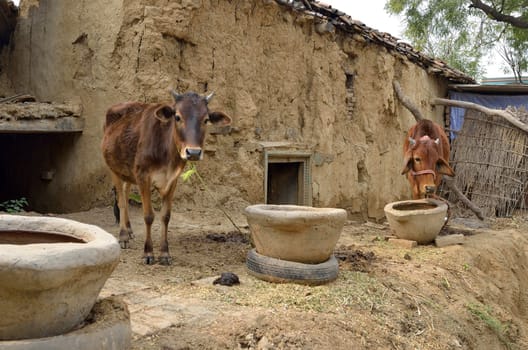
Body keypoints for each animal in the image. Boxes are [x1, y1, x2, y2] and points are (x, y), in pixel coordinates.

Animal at [101, 91, 231, 266]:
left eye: (206, 119)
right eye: (177, 117)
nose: (193, 152)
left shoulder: (172, 180)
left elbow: (165, 216)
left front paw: (164, 253)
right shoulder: (143, 176)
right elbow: (148, 216)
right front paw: (148, 253)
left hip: (128, 172)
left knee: (126, 194)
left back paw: (129, 229)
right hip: (113, 169)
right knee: (121, 201)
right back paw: (123, 236)